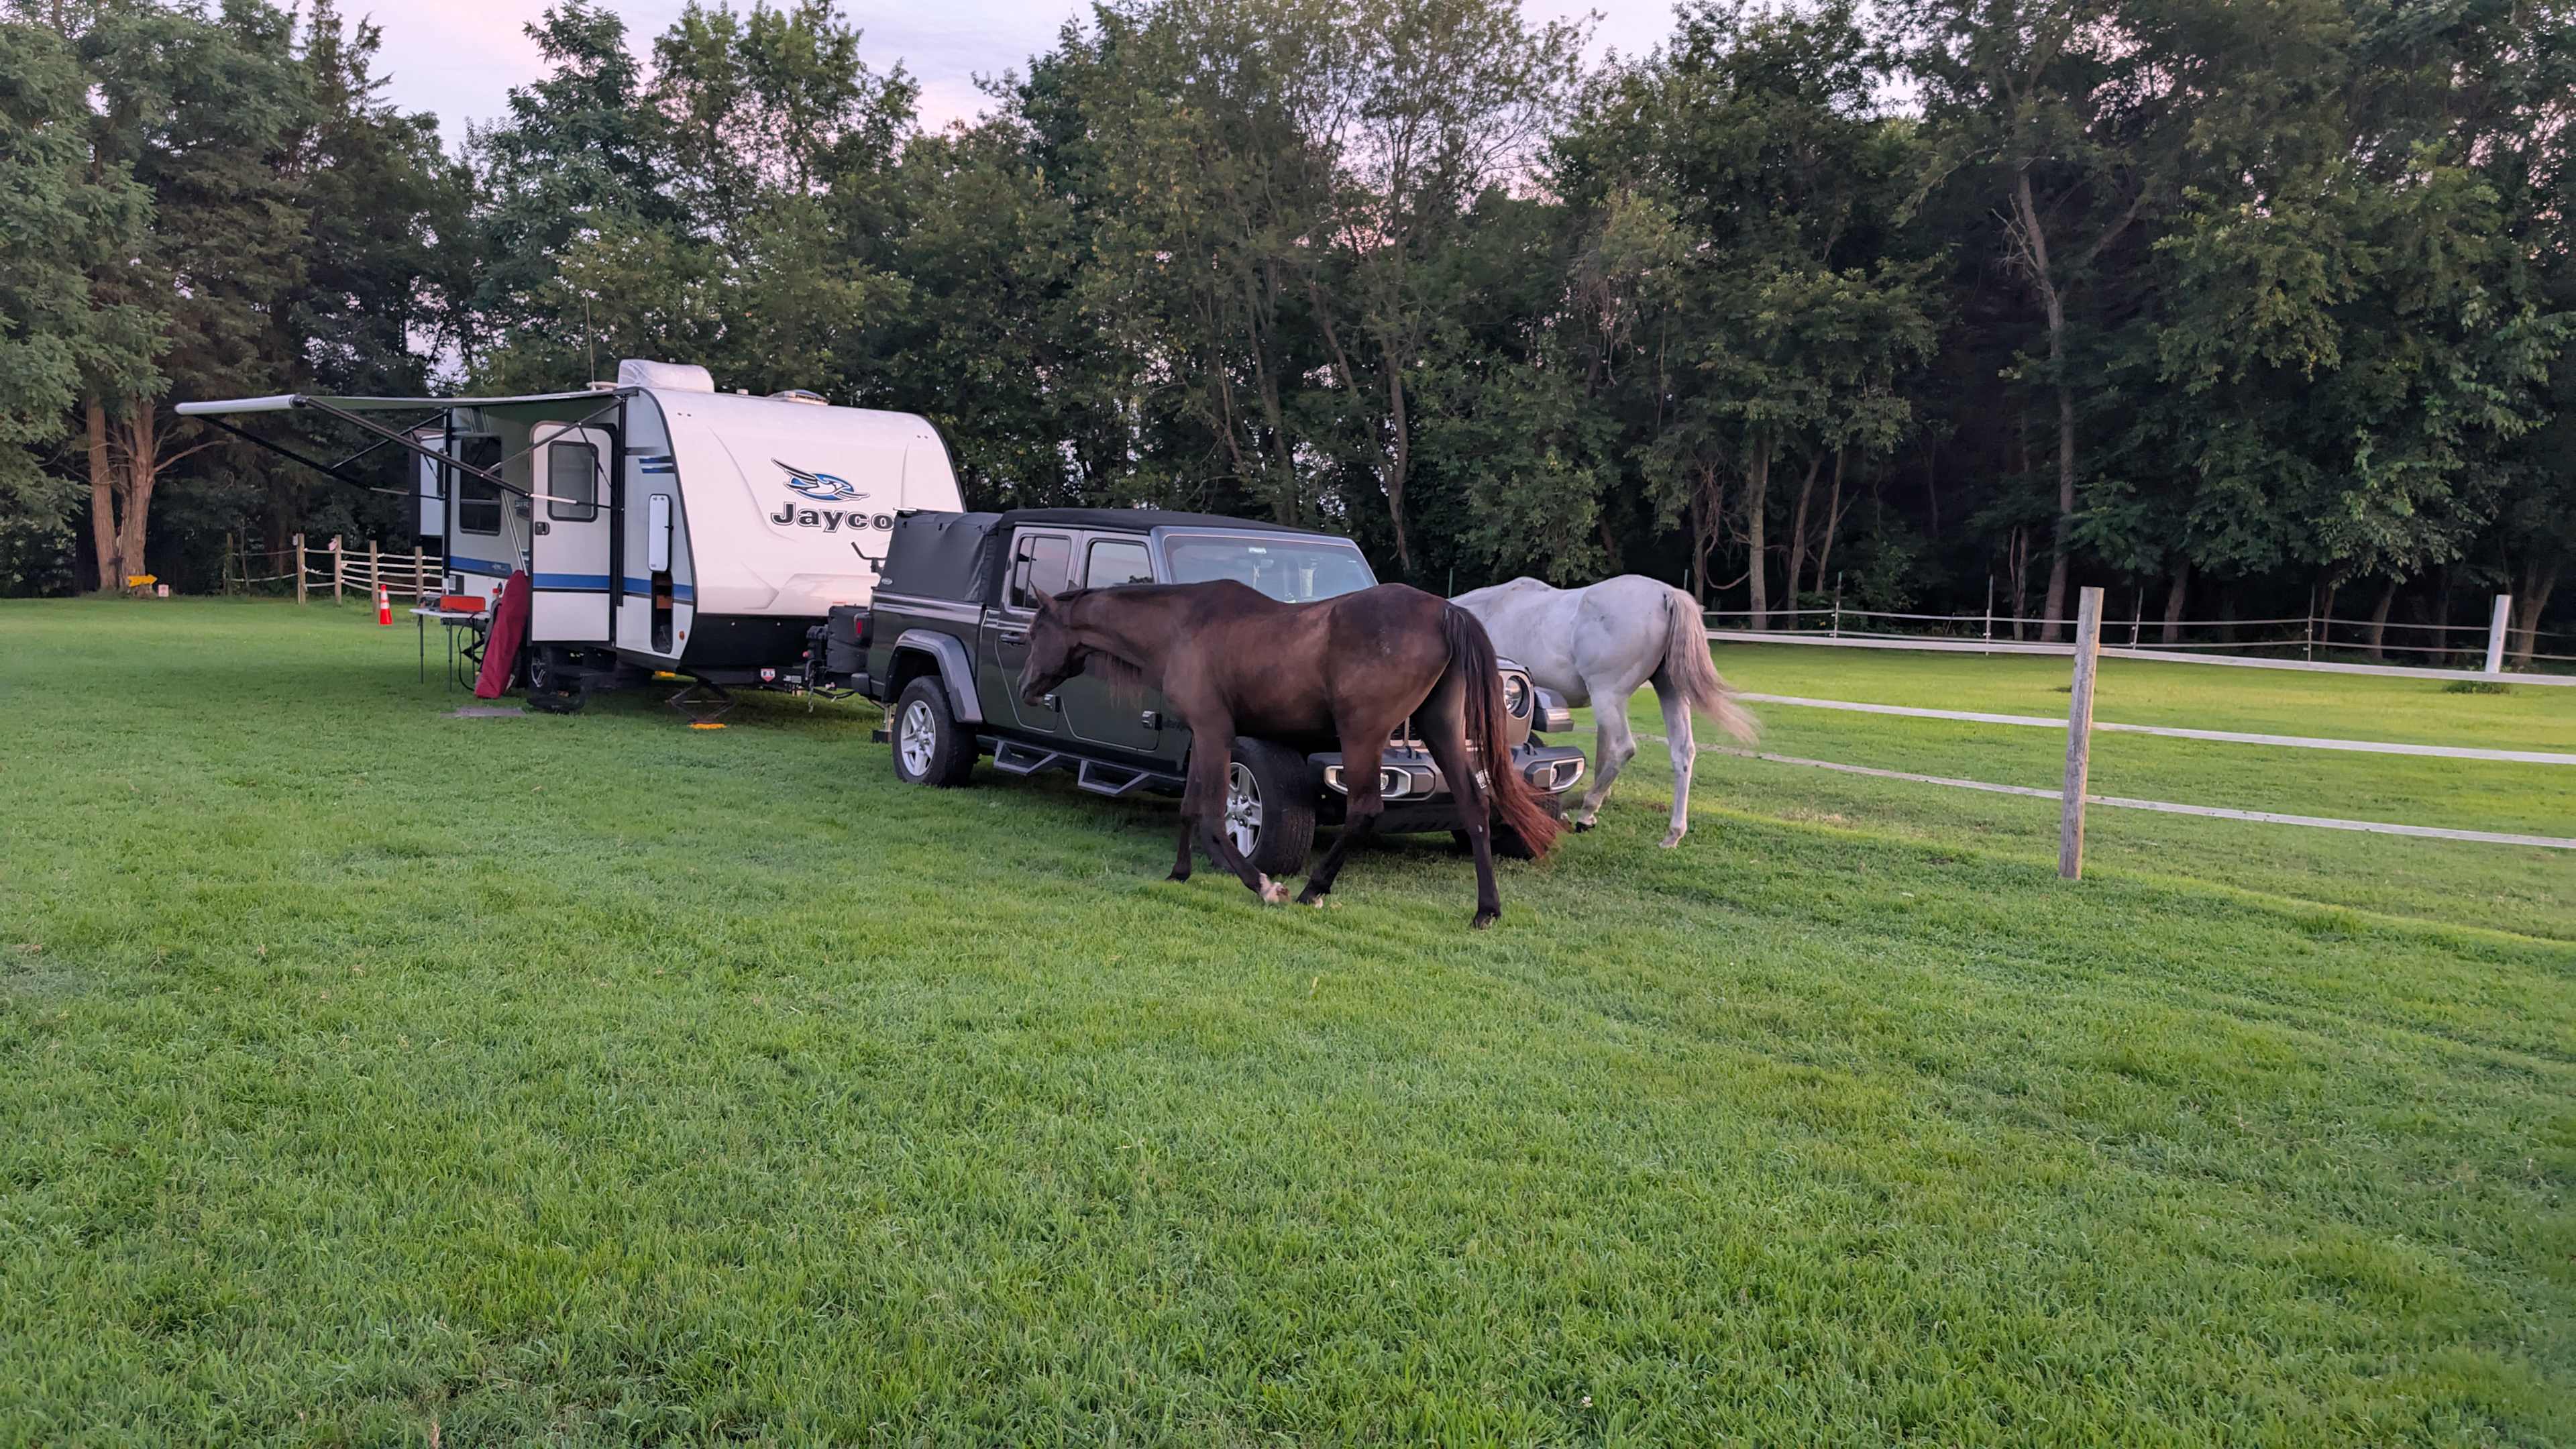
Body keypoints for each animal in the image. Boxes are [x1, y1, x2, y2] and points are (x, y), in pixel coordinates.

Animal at [1017, 580, 1562, 928]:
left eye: (1035, 633)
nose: (1025, 687)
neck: (1182, 626)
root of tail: (1444, 611)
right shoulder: (1203, 736)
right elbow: (1190, 809)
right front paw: (1178, 873)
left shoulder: (1214, 733)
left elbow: (1214, 817)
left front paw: (1264, 885)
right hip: (1441, 730)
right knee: (1474, 805)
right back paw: (1486, 909)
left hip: (1361, 736)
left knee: (1365, 809)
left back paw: (1312, 889)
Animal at [1451, 575, 1757, 848]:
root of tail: (1666, 594)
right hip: (1667, 691)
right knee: (1682, 753)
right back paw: (1672, 834)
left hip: (1608, 695)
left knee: (1624, 748)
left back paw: (1587, 812)